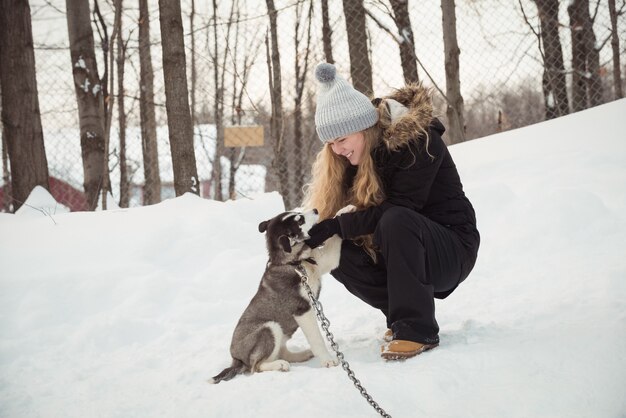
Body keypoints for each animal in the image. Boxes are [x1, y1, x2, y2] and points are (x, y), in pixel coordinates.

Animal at [211, 207, 346, 384]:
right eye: (300, 220)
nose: (316, 210)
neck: (293, 263)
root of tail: (236, 360)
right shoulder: (302, 310)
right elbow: (317, 339)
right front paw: (327, 360)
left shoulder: (324, 262)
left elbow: (334, 241)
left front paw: (344, 211)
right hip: (269, 327)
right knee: (256, 367)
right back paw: (280, 365)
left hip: (280, 333)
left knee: (282, 353)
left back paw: (302, 354)